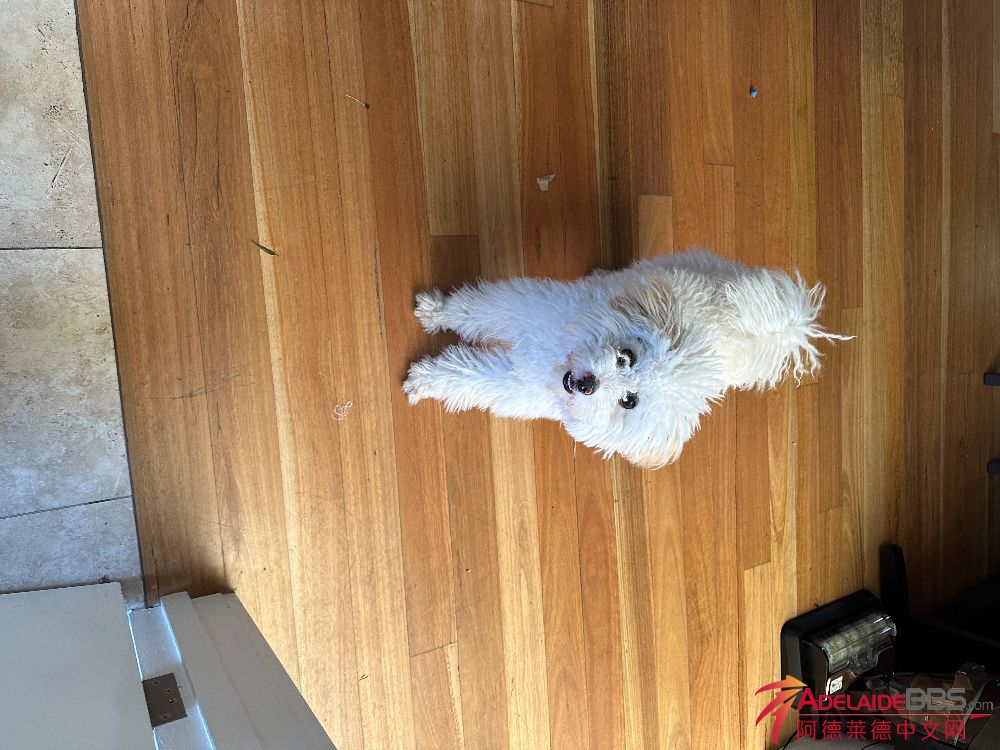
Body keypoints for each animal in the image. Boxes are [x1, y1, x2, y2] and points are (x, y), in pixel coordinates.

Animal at [403, 249, 847, 468]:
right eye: (627, 356)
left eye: (629, 401)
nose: (587, 384)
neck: (555, 361)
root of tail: (787, 323)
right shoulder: (526, 310)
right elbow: (474, 308)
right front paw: (436, 311)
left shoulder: (515, 383)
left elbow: (467, 376)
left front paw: (423, 380)